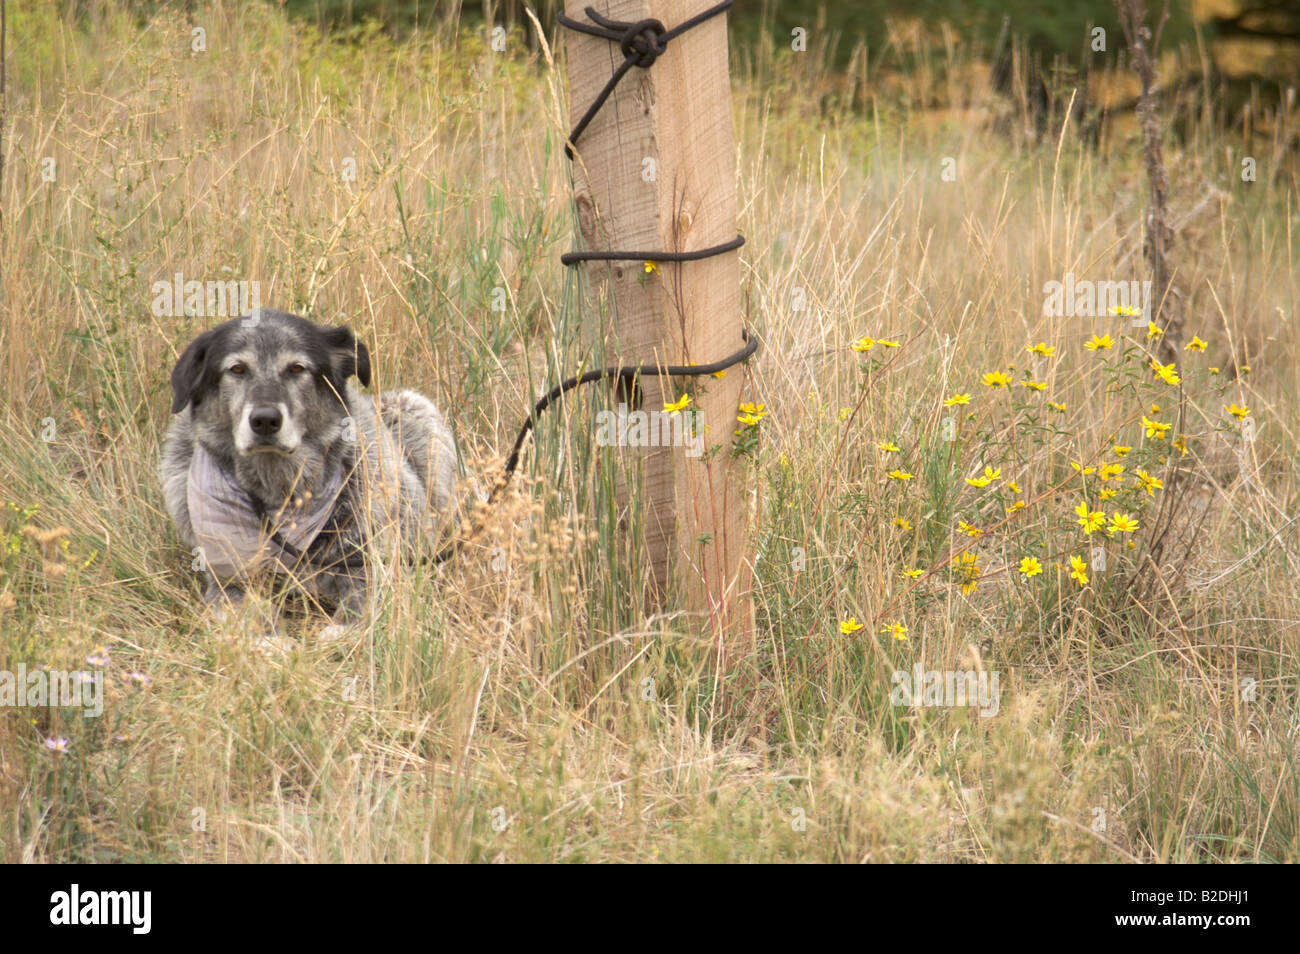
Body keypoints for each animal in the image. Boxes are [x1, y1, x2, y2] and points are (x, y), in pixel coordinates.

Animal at [160, 310, 460, 647]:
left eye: (296, 368)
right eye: (236, 369)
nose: (265, 420)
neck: (280, 493)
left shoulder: (375, 565)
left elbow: (364, 595)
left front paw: (344, 629)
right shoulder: (227, 580)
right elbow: (246, 607)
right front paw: (269, 639)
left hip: (416, 414)